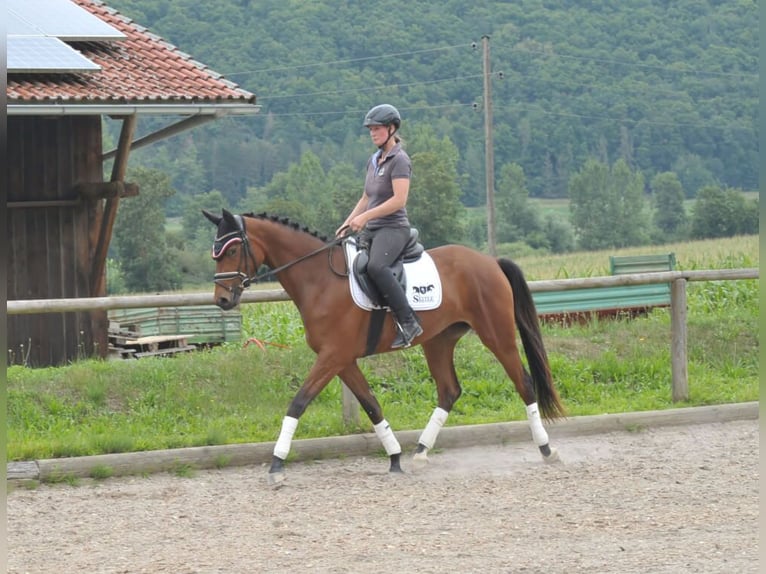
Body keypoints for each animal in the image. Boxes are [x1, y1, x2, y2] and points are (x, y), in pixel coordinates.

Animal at [202, 208, 564, 486]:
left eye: (231, 251)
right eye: (214, 253)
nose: (222, 301)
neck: (318, 279)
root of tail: (489, 261)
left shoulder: (333, 357)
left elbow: (298, 403)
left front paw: (276, 466)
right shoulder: (343, 360)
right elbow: (372, 406)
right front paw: (394, 458)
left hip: (496, 334)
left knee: (524, 383)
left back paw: (547, 450)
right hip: (439, 341)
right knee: (449, 391)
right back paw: (420, 453)